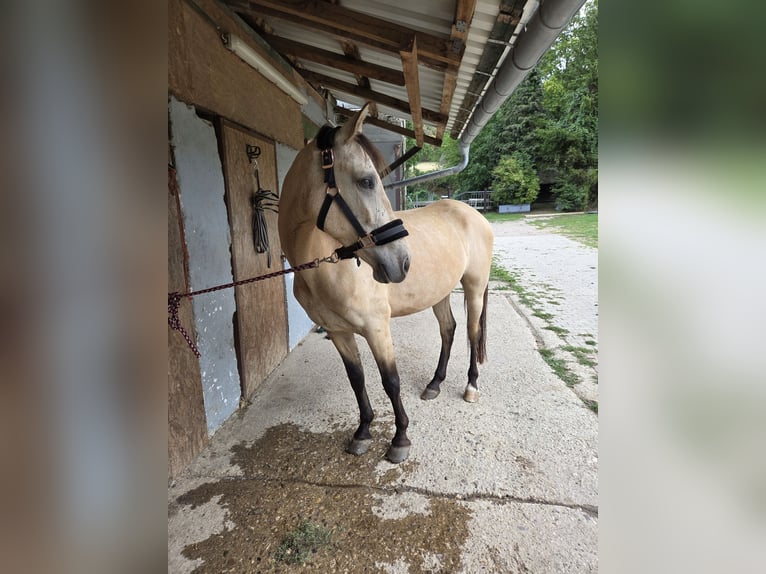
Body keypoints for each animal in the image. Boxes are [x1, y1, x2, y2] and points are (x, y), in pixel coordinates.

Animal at [278, 104, 494, 463]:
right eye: (366, 181)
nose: (402, 262)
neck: (323, 268)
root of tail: (472, 213)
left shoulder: (376, 328)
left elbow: (390, 380)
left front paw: (400, 439)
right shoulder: (339, 332)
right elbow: (358, 379)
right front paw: (362, 432)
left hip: (475, 288)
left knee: (471, 332)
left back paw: (471, 387)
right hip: (440, 293)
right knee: (448, 330)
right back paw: (434, 384)